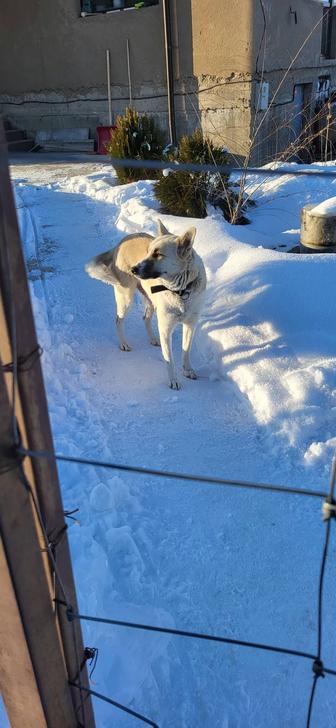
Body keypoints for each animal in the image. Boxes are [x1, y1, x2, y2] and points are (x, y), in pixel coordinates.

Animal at [85, 219, 206, 390]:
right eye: (148, 251)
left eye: (158, 254)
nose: (133, 269)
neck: (181, 291)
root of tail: (121, 242)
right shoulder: (165, 328)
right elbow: (169, 358)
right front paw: (173, 380)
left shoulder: (191, 324)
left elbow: (186, 350)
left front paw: (187, 370)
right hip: (126, 298)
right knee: (118, 320)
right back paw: (123, 344)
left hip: (151, 302)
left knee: (145, 318)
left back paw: (153, 339)